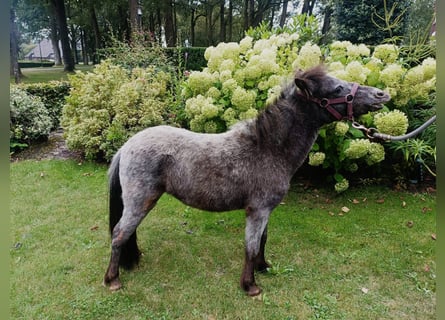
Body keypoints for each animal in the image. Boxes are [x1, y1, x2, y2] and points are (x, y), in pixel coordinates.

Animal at [103, 63, 388, 296]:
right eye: (337, 88)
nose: (381, 95)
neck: (268, 148)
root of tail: (126, 146)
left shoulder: (266, 211)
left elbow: (262, 241)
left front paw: (264, 267)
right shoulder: (257, 211)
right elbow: (250, 247)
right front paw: (250, 286)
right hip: (141, 201)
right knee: (119, 233)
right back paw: (112, 280)